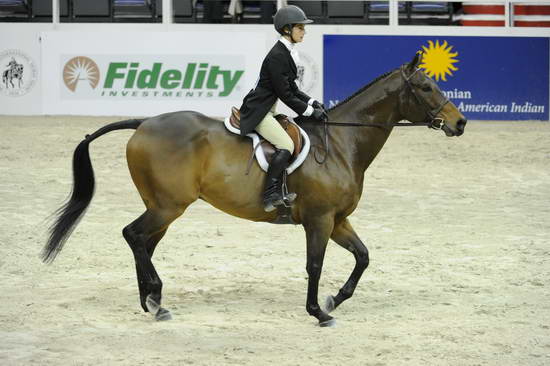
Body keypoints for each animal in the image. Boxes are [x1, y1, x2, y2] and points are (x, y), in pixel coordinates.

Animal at [41, 53, 468, 326]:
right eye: (426, 87)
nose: (460, 123)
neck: (340, 144)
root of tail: (143, 123)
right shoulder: (319, 220)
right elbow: (315, 265)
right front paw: (318, 312)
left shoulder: (338, 220)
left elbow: (362, 257)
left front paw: (334, 299)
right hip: (168, 206)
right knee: (133, 235)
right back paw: (156, 301)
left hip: (162, 207)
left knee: (143, 242)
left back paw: (151, 301)